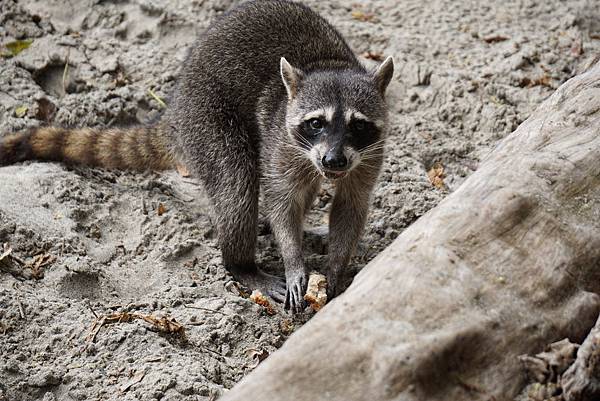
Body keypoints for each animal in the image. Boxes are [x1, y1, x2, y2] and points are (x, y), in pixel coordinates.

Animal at [1, 0, 394, 312]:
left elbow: (351, 205)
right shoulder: (281, 139)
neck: (327, 64)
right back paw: (241, 264)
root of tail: (174, 111)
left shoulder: (369, 153)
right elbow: (282, 200)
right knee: (237, 183)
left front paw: (336, 268)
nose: (333, 162)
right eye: (316, 123)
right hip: (206, 119)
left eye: (358, 125)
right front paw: (294, 259)